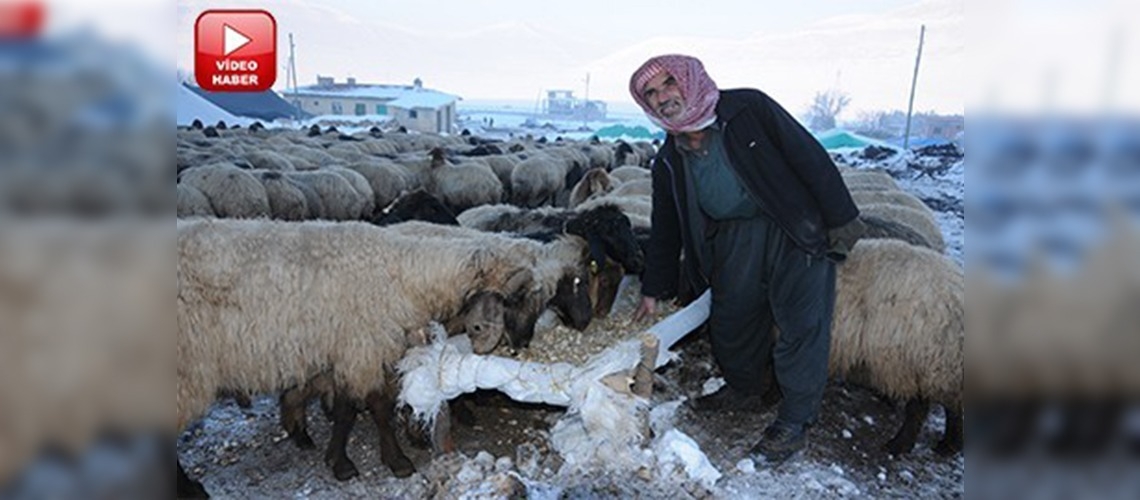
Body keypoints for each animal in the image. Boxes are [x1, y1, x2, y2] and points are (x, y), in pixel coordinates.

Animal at [176, 218, 542, 496]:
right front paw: (376, 461)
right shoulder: (361, 349)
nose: (522, 343)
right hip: (180, 369)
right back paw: (190, 488)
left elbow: (356, 408)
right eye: (515, 299)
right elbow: (363, 409)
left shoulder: (355, 352)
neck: (402, 275)